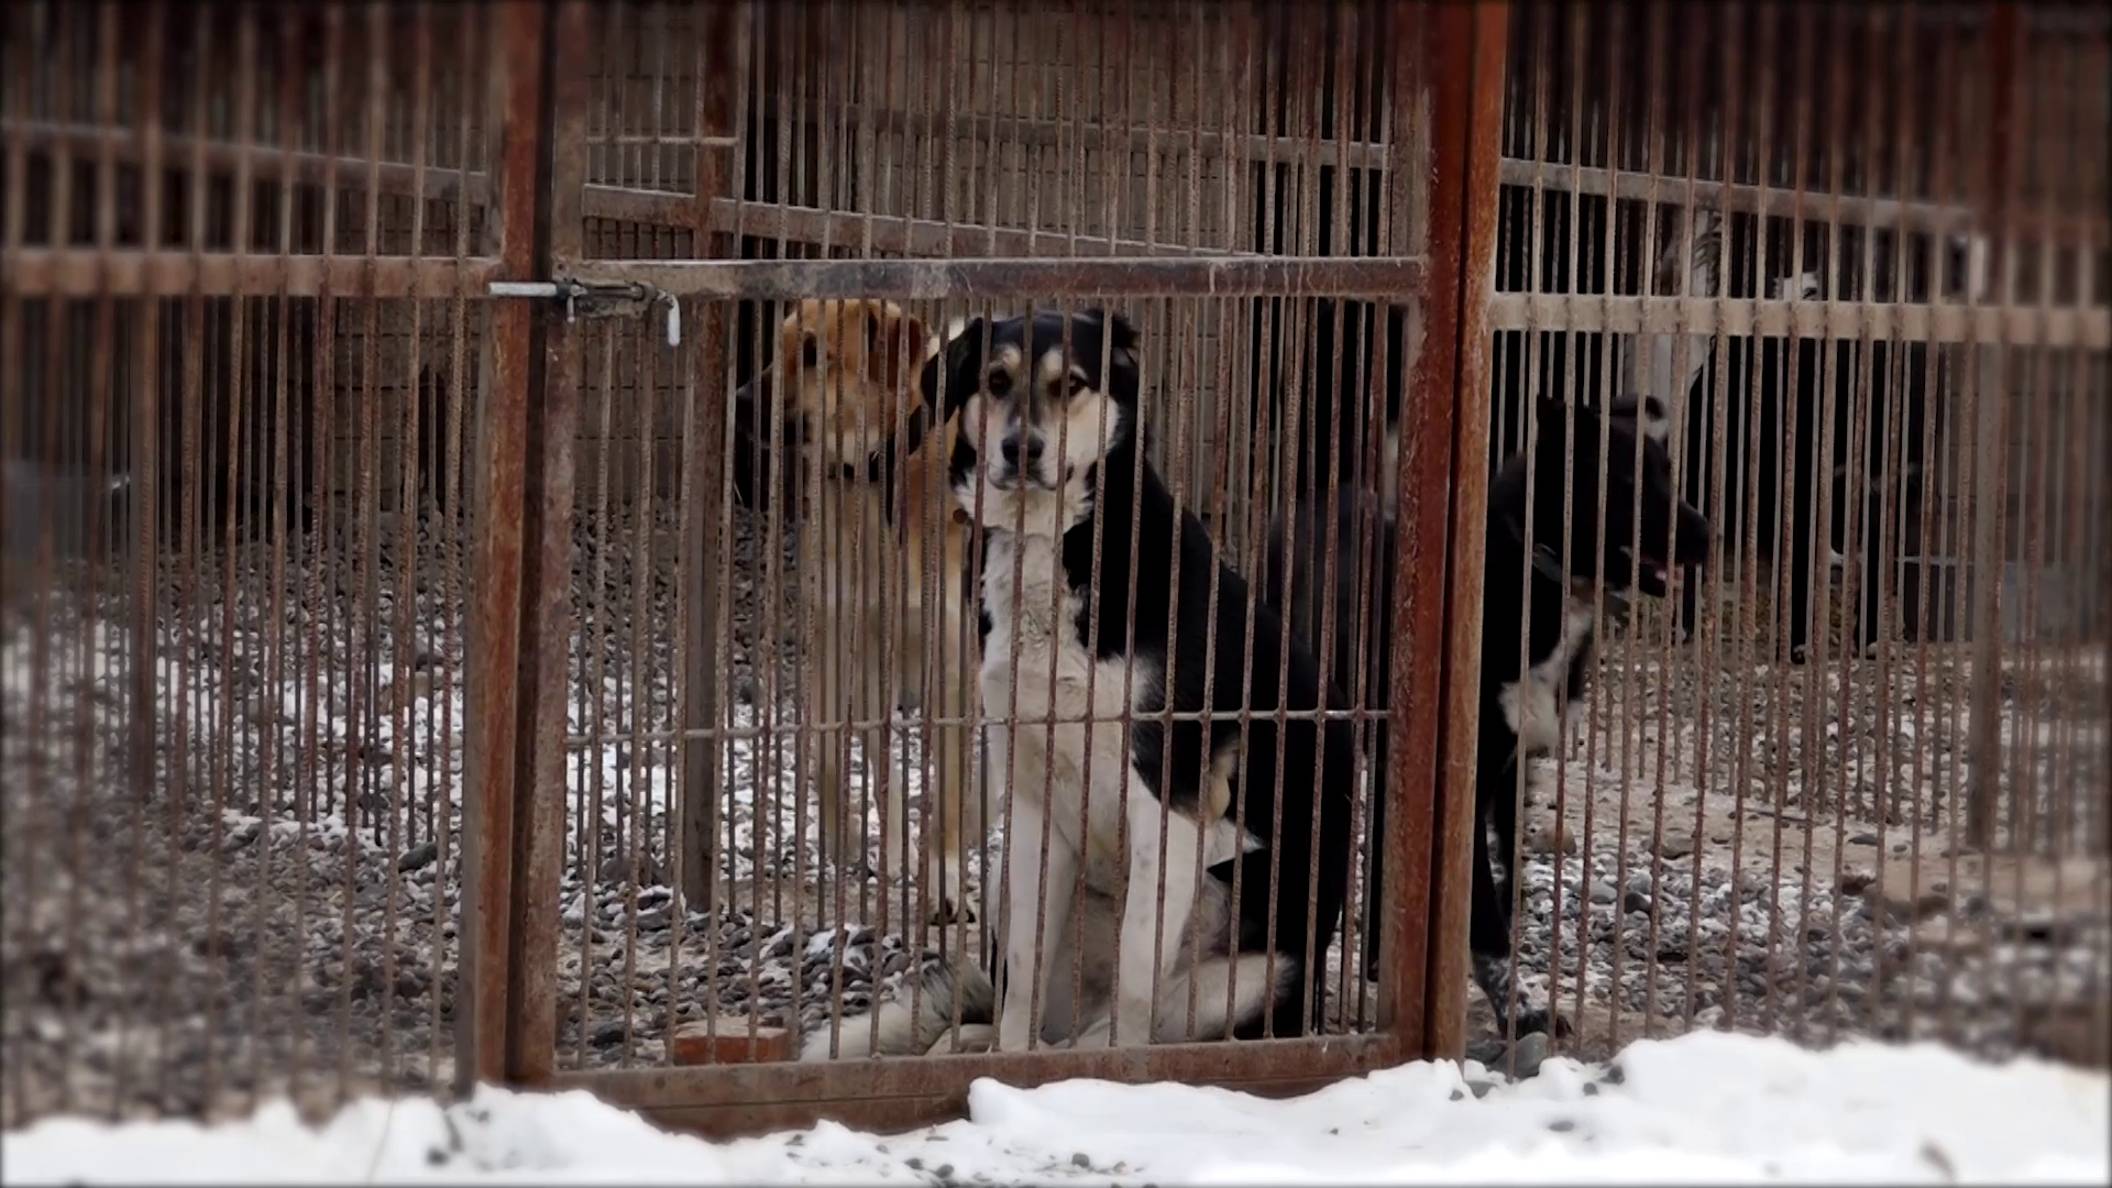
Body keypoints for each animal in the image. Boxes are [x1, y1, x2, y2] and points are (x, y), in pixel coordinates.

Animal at [768, 298, 979, 925]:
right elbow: (843, 762)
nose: (746, 397)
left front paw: (945, 881)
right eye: (778, 348)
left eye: (815, 352)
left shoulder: (952, 665)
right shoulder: (844, 651)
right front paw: (865, 846)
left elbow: (949, 791)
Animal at [794, 306, 1351, 1052]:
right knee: (1001, 1012)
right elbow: (1022, 981)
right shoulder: (1031, 800)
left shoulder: (1170, 808)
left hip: (1255, 974)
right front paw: (1005, 1056)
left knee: (1118, 1025)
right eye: (997, 380)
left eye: (1073, 385)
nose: (1020, 449)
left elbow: (1137, 981)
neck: (1050, 542)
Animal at [1258, 393, 1706, 1031]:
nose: (1708, 534)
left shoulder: (1516, 775)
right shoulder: (1465, 785)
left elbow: (1507, 883)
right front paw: (1521, 1010)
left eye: (1669, 474)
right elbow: (1484, 916)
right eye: (1627, 482)